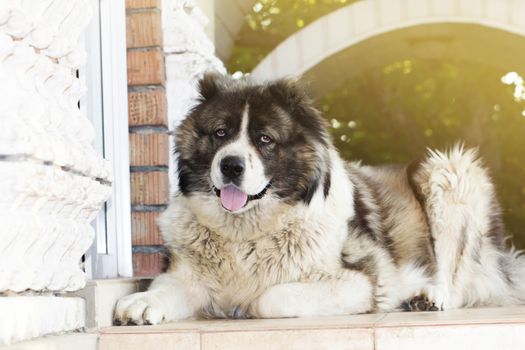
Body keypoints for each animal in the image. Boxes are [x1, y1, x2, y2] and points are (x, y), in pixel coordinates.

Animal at [113, 73, 524, 326]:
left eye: (265, 139)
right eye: (219, 133)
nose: (230, 166)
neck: (247, 234)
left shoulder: (363, 282)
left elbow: (268, 299)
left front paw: (244, 307)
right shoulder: (187, 277)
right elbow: (164, 288)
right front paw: (140, 303)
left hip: (447, 172)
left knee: (461, 281)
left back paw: (429, 296)